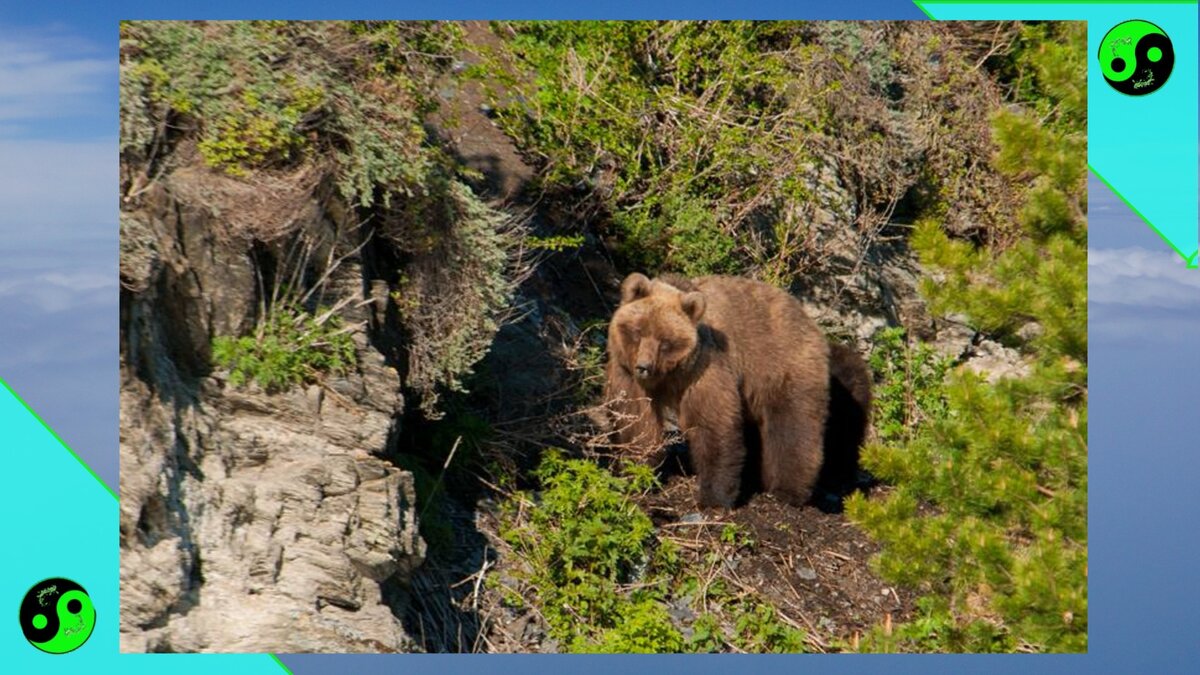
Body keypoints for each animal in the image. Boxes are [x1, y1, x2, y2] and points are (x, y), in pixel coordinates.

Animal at [604, 270, 840, 506]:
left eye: (665, 342)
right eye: (638, 332)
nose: (644, 367)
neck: (668, 377)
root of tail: (804, 315)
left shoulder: (702, 369)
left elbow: (712, 422)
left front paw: (714, 497)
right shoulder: (627, 374)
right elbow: (635, 421)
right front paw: (635, 471)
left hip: (782, 365)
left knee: (792, 425)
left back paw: (787, 491)